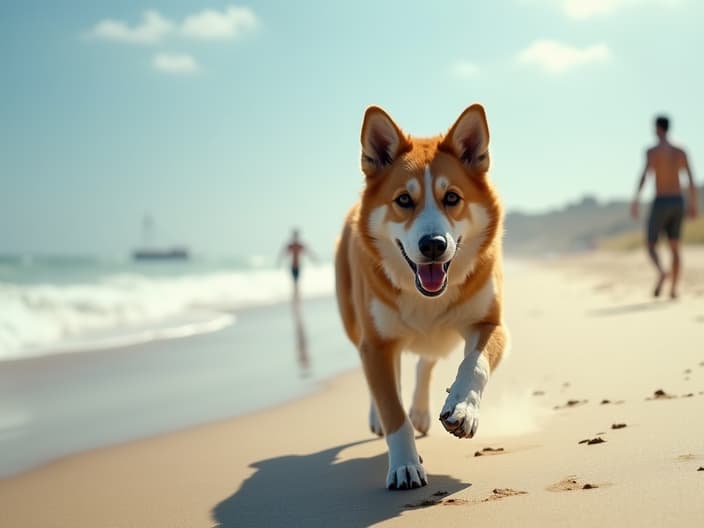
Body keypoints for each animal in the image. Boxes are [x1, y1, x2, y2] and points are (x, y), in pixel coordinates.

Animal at [334, 104, 506, 490]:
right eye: (403, 200)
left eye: (452, 198)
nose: (433, 245)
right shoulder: (377, 344)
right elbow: (393, 410)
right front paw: (404, 465)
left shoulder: (490, 323)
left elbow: (475, 365)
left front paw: (463, 409)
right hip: (356, 325)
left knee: (425, 360)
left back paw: (424, 412)